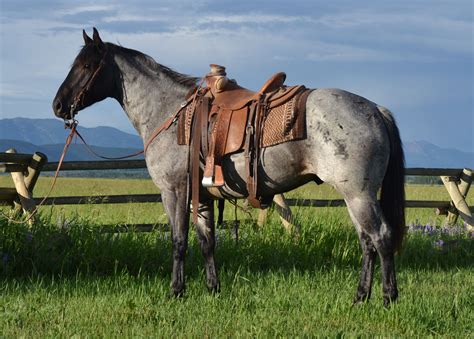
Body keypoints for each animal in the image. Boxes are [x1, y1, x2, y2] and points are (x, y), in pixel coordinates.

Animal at [53, 27, 406, 306]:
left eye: (87, 65)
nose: (58, 105)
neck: (171, 114)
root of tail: (376, 109)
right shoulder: (203, 197)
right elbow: (207, 242)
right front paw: (213, 289)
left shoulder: (175, 192)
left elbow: (178, 241)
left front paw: (176, 291)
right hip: (354, 197)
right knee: (367, 242)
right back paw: (360, 298)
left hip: (359, 195)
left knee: (381, 237)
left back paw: (388, 298)